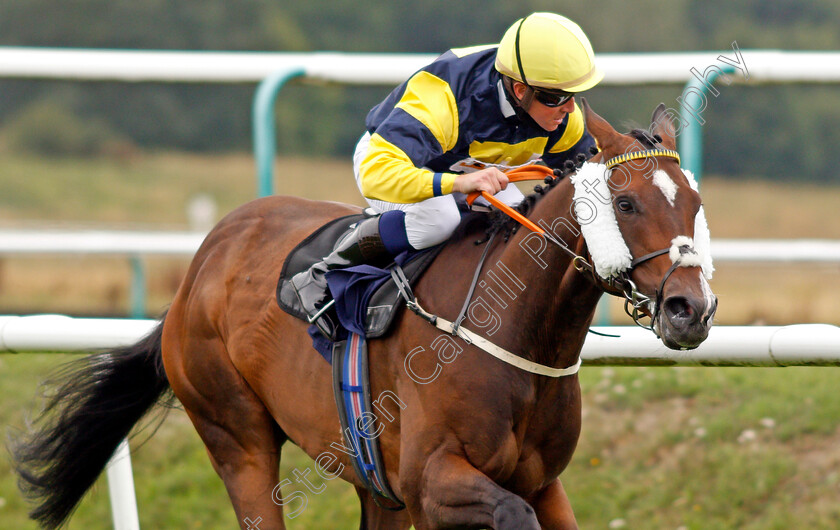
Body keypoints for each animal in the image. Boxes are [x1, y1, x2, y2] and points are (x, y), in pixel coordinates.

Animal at [13, 101, 716, 524]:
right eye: (625, 204)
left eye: (695, 202)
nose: (692, 309)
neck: (515, 334)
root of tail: (195, 272)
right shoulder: (433, 480)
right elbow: (504, 513)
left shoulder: (540, 480)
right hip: (235, 434)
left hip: (371, 478)